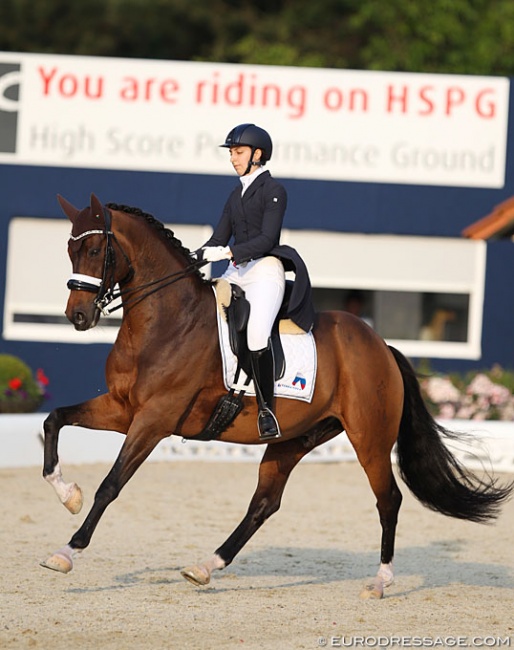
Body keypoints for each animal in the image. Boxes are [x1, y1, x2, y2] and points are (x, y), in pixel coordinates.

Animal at [41, 192, 512, 596]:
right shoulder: (123, 409)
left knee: (388, 500)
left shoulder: (154, 419)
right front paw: (68, 495)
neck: (166, 322)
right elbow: (54, 420)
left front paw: (66, 552)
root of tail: (381, 345)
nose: (78, 316)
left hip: (370, 439)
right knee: (264, 503)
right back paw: (205, 567)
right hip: (293, 438)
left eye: (96, 251)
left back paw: (379, 582)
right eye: (68, 248)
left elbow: (111, 484)